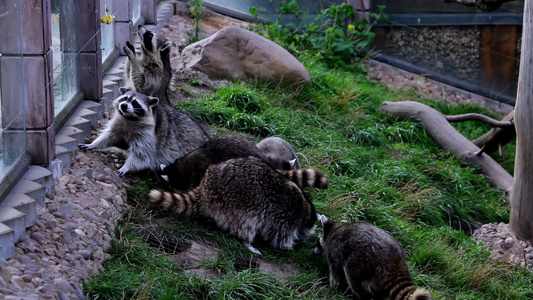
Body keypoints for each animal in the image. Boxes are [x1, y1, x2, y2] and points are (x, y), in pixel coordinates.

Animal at [78, 86, 209, 176]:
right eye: (124, 98)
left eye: (135, 103)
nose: (124, 106)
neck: (129, 119)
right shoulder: (118, 124)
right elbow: (109, 137)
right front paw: (94, 144)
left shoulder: (149, 133)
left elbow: (143, 154)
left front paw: (127, 166)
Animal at [150, 156, 324, 254]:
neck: (305, 208)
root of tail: (207, 186)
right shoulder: (284, 218)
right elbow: (279, 236)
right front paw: (289, 245)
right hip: (237, 203)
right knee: (246, 224)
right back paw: (246, 241)